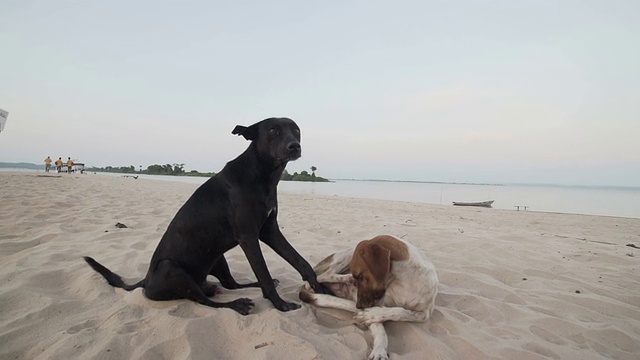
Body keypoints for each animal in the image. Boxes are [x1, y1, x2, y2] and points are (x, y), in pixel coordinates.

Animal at [84, 116, 330, 314]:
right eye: (272, 130)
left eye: (296, 130)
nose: (294, 146)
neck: (263, 174)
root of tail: (145, 281)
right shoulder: (249, 237)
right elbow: (264, 273)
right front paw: (280, 304)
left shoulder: (270, 231)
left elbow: (300, 260)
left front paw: (319, 287)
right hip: (171, 268)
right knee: (204, 301)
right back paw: (237, 304)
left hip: (217, 256)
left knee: (230, 285)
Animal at [300, 235, 440, 358]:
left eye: (361, 276)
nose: (359, 306)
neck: (403, 282)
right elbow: (381, 329)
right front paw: (379, 350)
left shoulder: (425, 312)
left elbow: (401, 312)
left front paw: (372, 314)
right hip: (345, 256)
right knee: (321, 276)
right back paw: (345, 278)